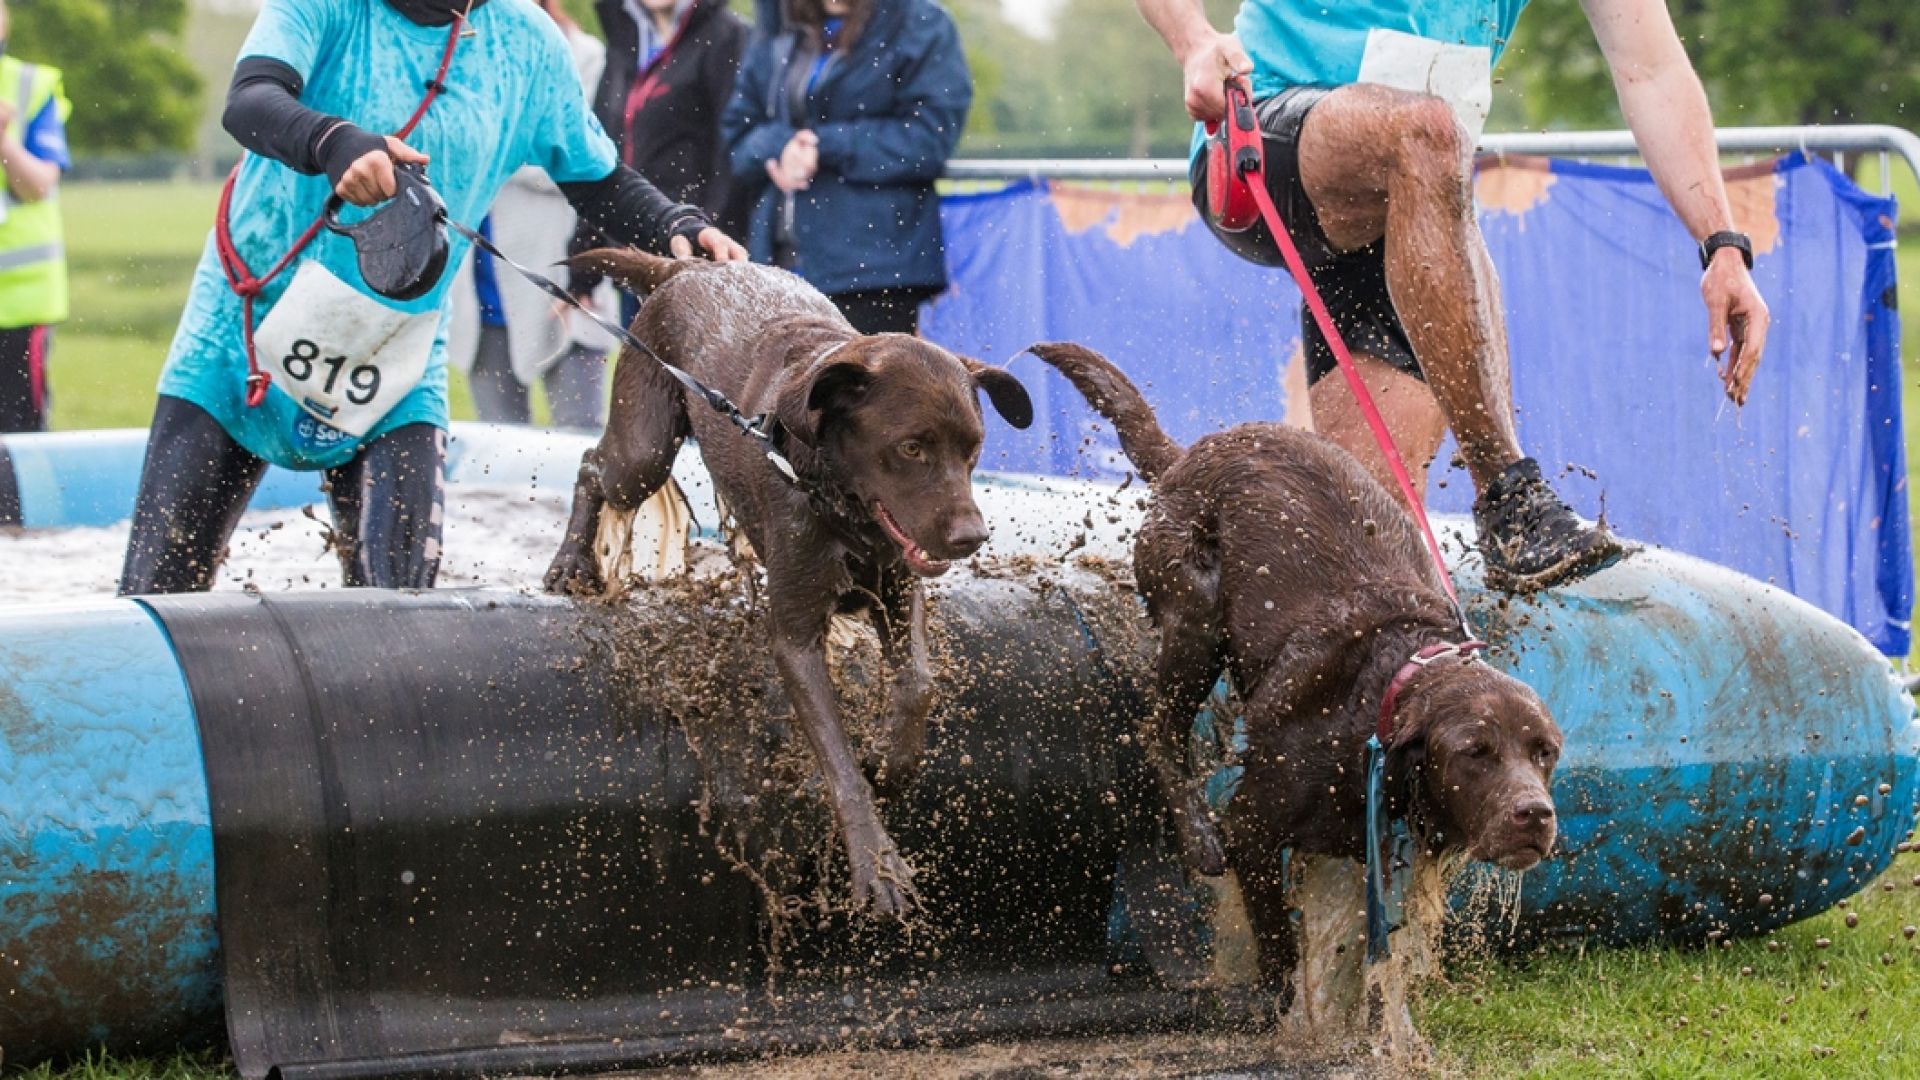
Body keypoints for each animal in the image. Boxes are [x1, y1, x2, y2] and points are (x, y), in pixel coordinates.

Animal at [549, 251, 1036, 914]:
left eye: (974, 449)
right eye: (911, 448)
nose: (971, 537)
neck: (833, 492)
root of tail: (685, 269)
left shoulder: (898, 588)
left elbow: (918, 683)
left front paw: (892, 761)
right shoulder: (797, 638)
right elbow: (838, 759)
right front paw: (877, 865)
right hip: (644, 446)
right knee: (593, 466)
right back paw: (571, 562)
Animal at [1036, 340, 1559, 1014]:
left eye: (1544, 752)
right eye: (1475, 751)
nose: (1536, 814)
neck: (1377, 700)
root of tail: (1189, 455)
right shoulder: (1253, 827)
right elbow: (1279, 944)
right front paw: (1279, 1003)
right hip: (1195, 617)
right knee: (1158, 729)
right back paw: (1196, 836)